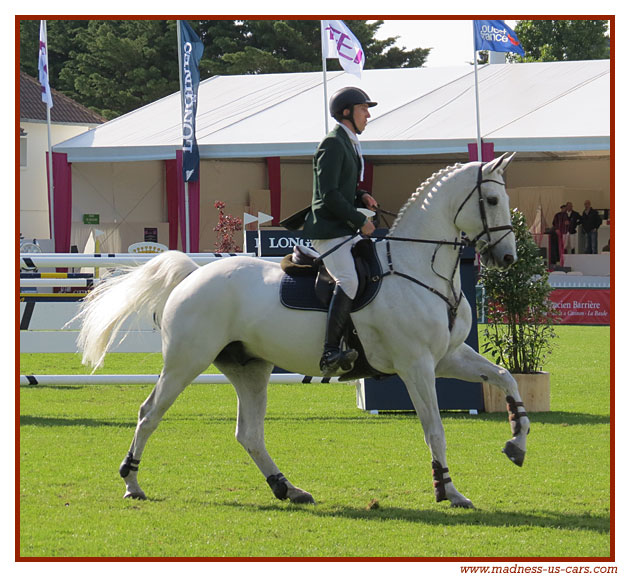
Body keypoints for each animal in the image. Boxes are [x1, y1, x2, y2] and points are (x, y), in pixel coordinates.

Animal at [74, 152, 532, 504]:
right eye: (492, 199)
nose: (508, 258)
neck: (420, 267)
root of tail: (193, 274)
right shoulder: (416, 365)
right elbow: (434, 428)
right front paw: (448, 490)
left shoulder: (447, 357)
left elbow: (507, 378)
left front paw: (516, 442)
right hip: (185, 362)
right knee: (149, 413)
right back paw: (132, 483)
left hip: (250, 368)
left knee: (249, 433)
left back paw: (287, 488)